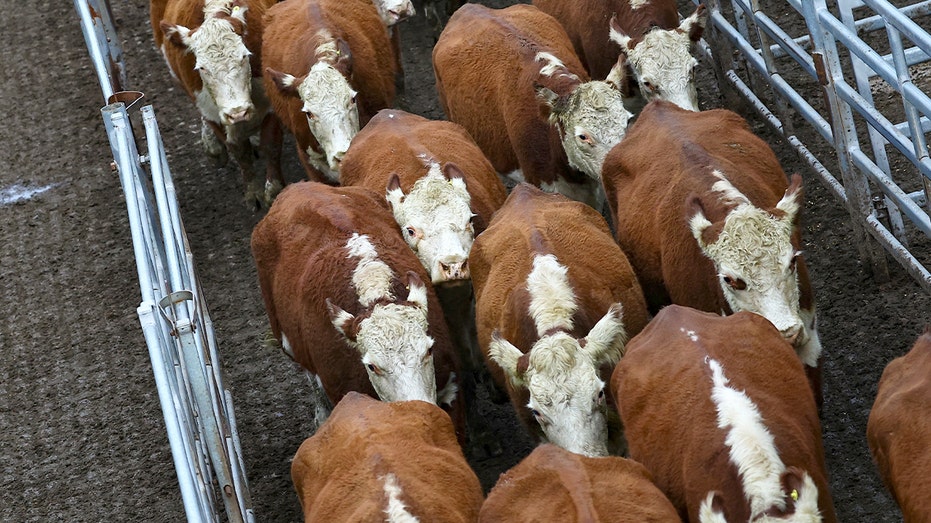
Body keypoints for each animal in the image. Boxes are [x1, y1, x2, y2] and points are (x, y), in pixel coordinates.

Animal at [151, 0, 285, 209]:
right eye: (202, 68)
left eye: (244, 56)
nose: (238, 112)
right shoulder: (210, 111)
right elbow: (239, 151)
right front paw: (253, 193)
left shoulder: (269, 102)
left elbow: (271, 144)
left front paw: (274, 192)